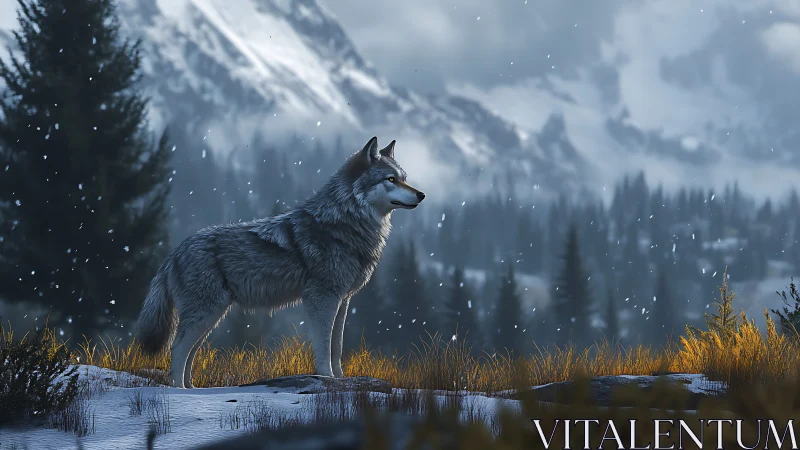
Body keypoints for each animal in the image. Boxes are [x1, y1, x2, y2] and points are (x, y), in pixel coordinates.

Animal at [134, 137, 425, 388]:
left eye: (404, 179)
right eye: (391, 179)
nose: (421, 195)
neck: (344, 223)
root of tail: (174, 252)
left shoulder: (343, 301)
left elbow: (337, 346)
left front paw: (341, 380)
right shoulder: (322, 298)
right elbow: (324, 346)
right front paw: (327, 378)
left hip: (211, 317)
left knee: (189, 352)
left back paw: (192, 389)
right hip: (206, 314)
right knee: (177, 349)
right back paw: (179, 392)